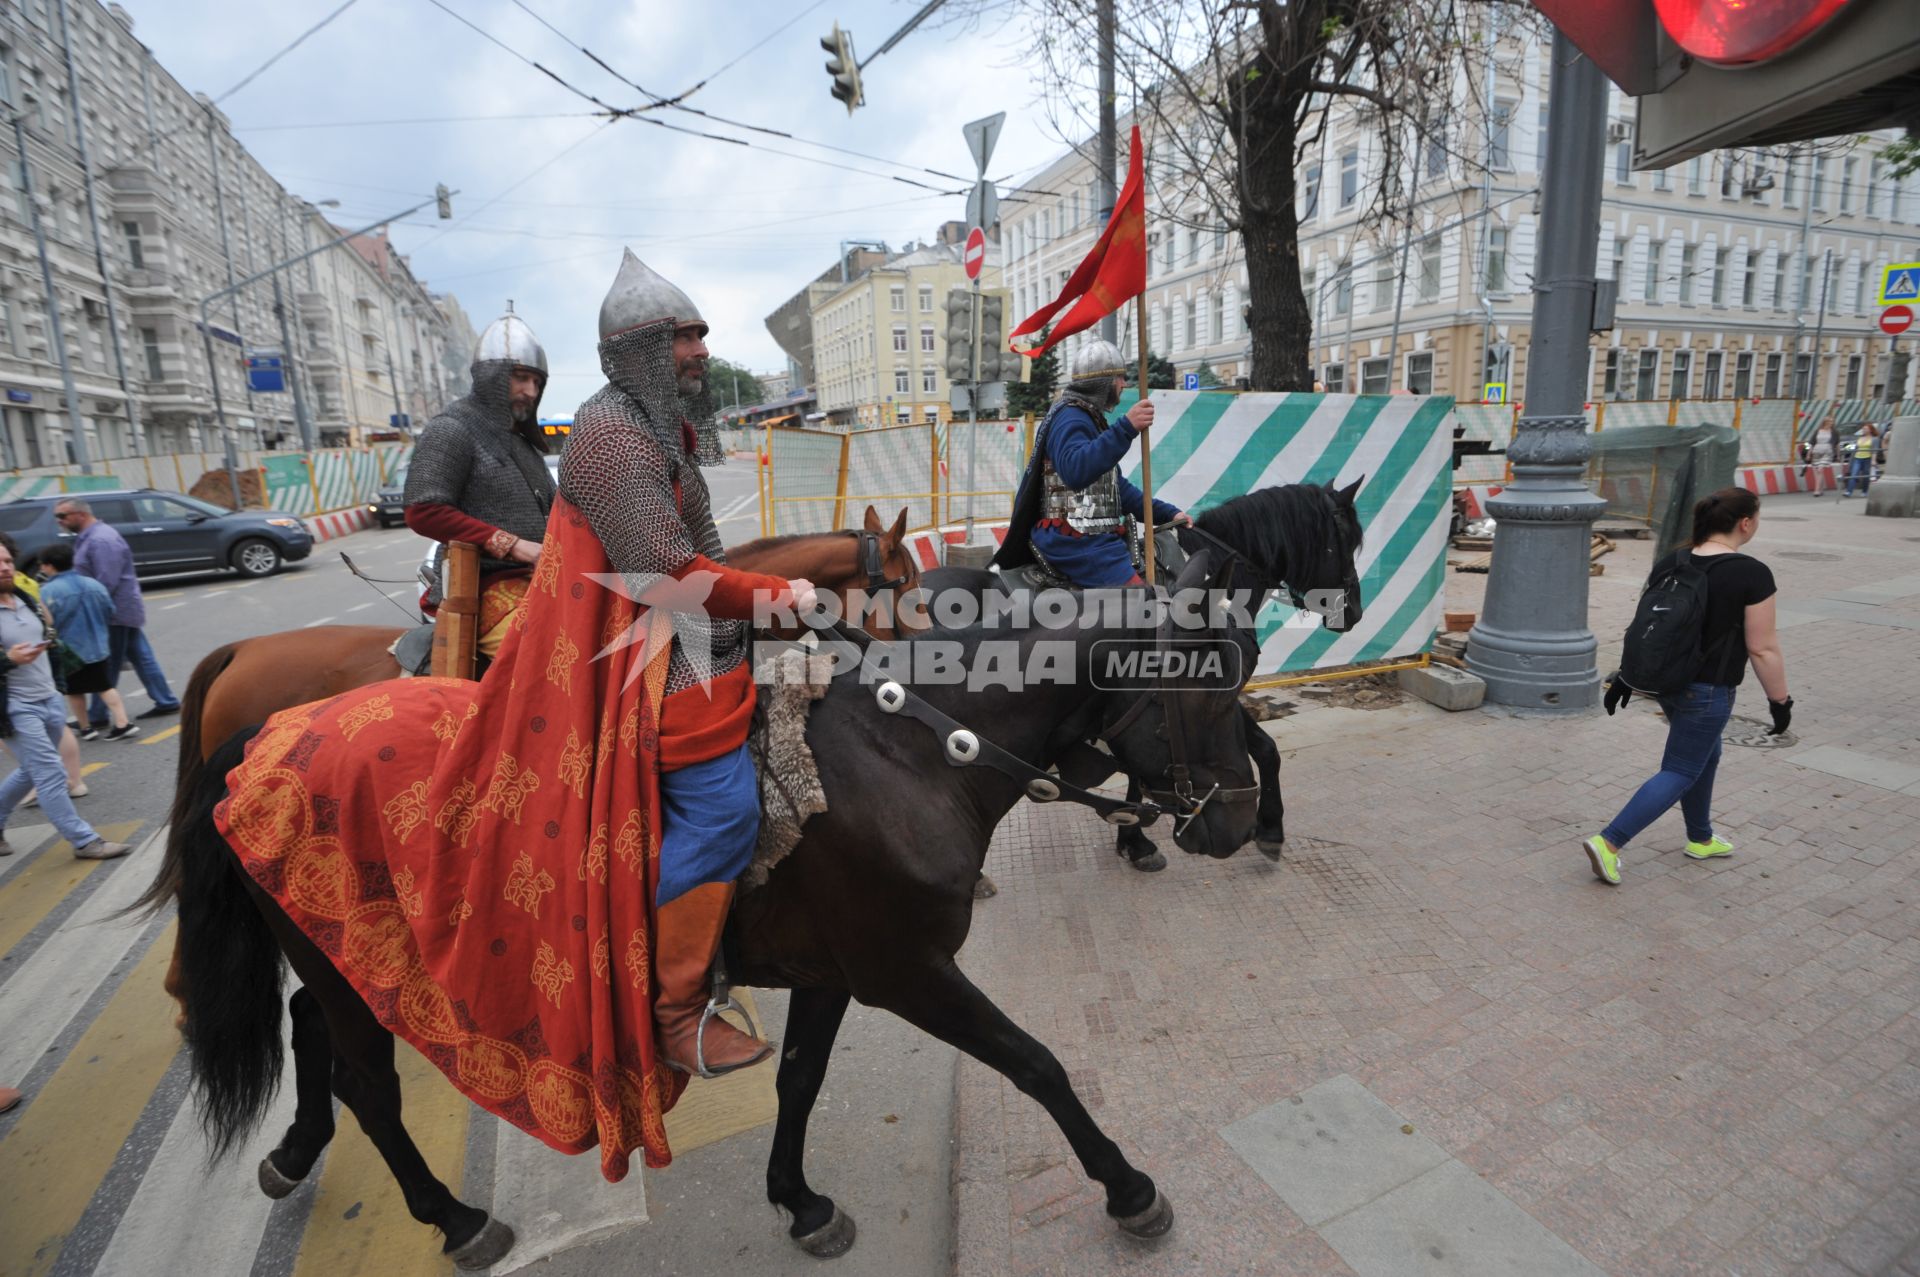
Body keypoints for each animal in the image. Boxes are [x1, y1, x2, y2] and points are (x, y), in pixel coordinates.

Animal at [165, 549, 1259, 1267]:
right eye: (1209, 694)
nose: (1239, 817)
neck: (911, 754)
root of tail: (268, 732)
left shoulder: (835, 971)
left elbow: (801, 1079)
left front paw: (800, 1199)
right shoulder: (912, 973)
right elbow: (1036, 1062)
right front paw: (1128, 1186)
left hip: (339, 944)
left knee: (311, 1028)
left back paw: (295, 1153)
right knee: (368, 1082)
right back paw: (453, 1215)